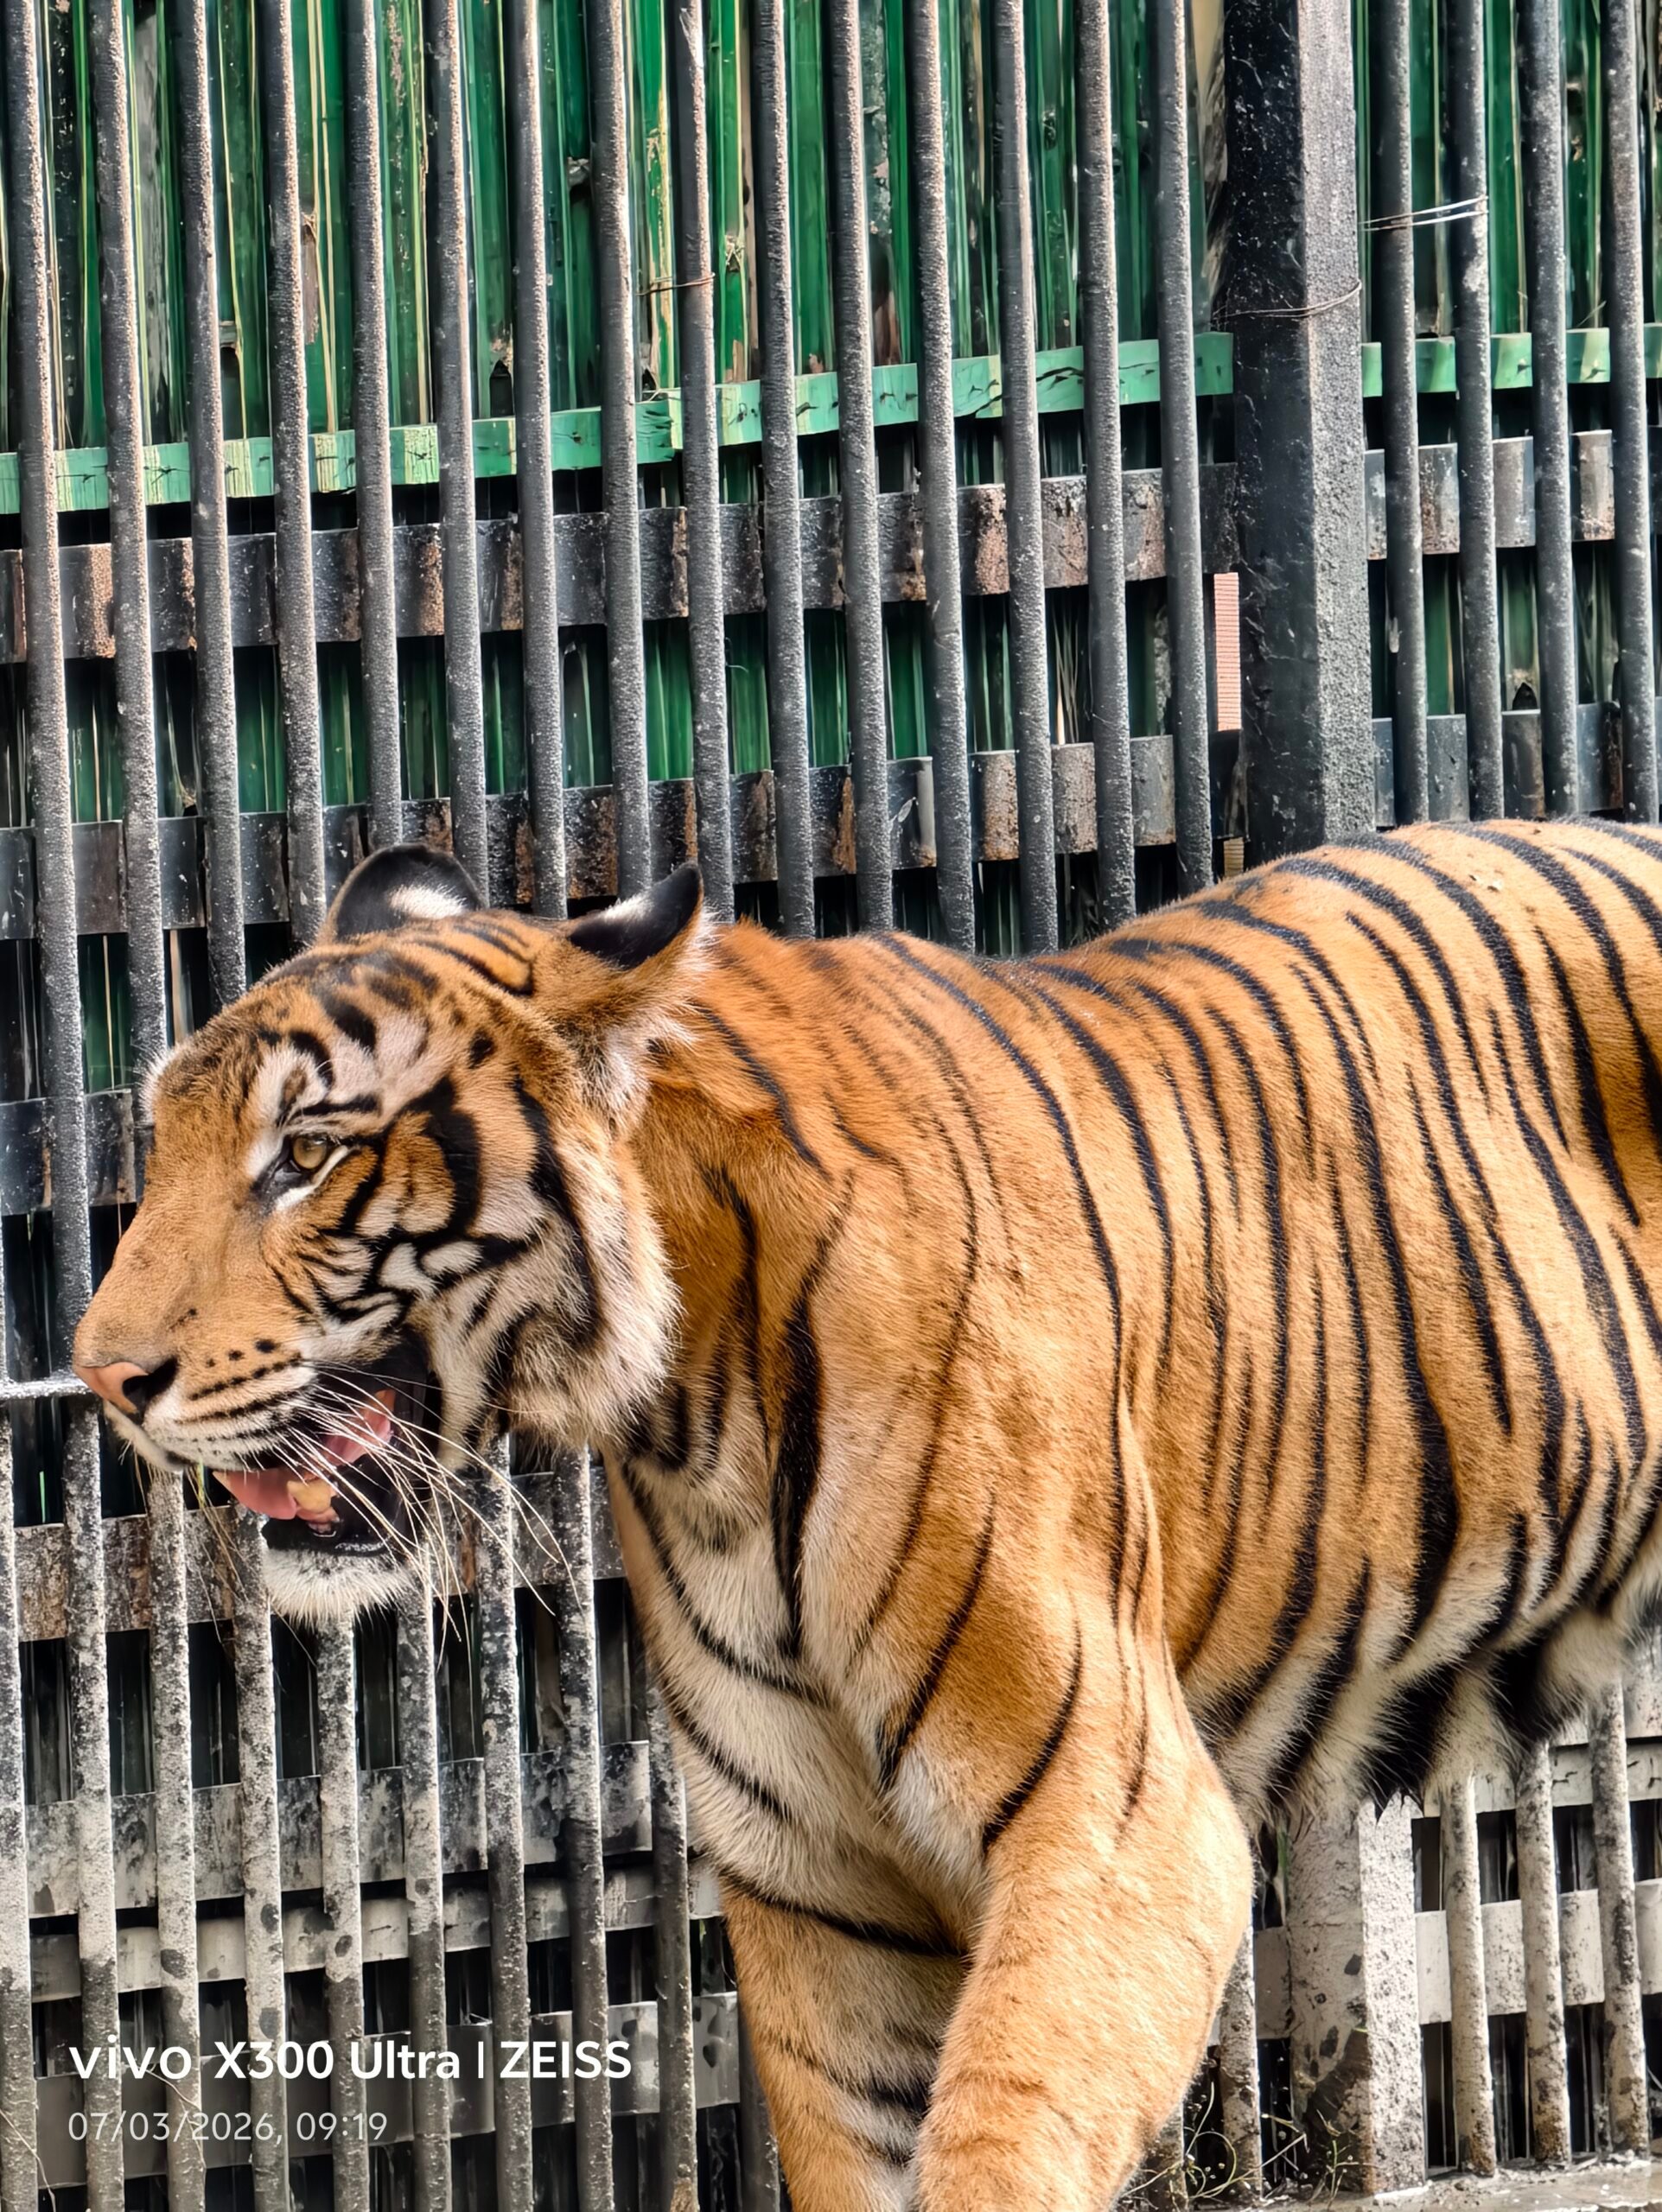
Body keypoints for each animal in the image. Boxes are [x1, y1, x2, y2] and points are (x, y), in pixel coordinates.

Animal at [73, 814, 1662, 2212]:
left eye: (309, 1155)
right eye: (162, 1142)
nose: (100, 1375)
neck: (690, 1405)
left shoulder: (1119, 1815)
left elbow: (1000, 2140)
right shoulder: (821, 1877)